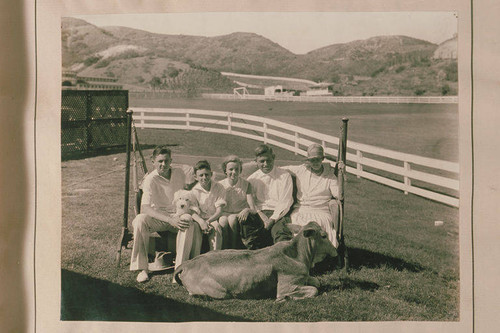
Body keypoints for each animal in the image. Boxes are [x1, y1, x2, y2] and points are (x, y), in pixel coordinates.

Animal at [174, 220, 338, 300]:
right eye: (324, 235)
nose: (336, 250)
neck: (298, 255)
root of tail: (187, 263)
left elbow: (317, 282)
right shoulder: (287, 287)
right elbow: (313, 290)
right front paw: (285, 299)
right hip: (219, 292)